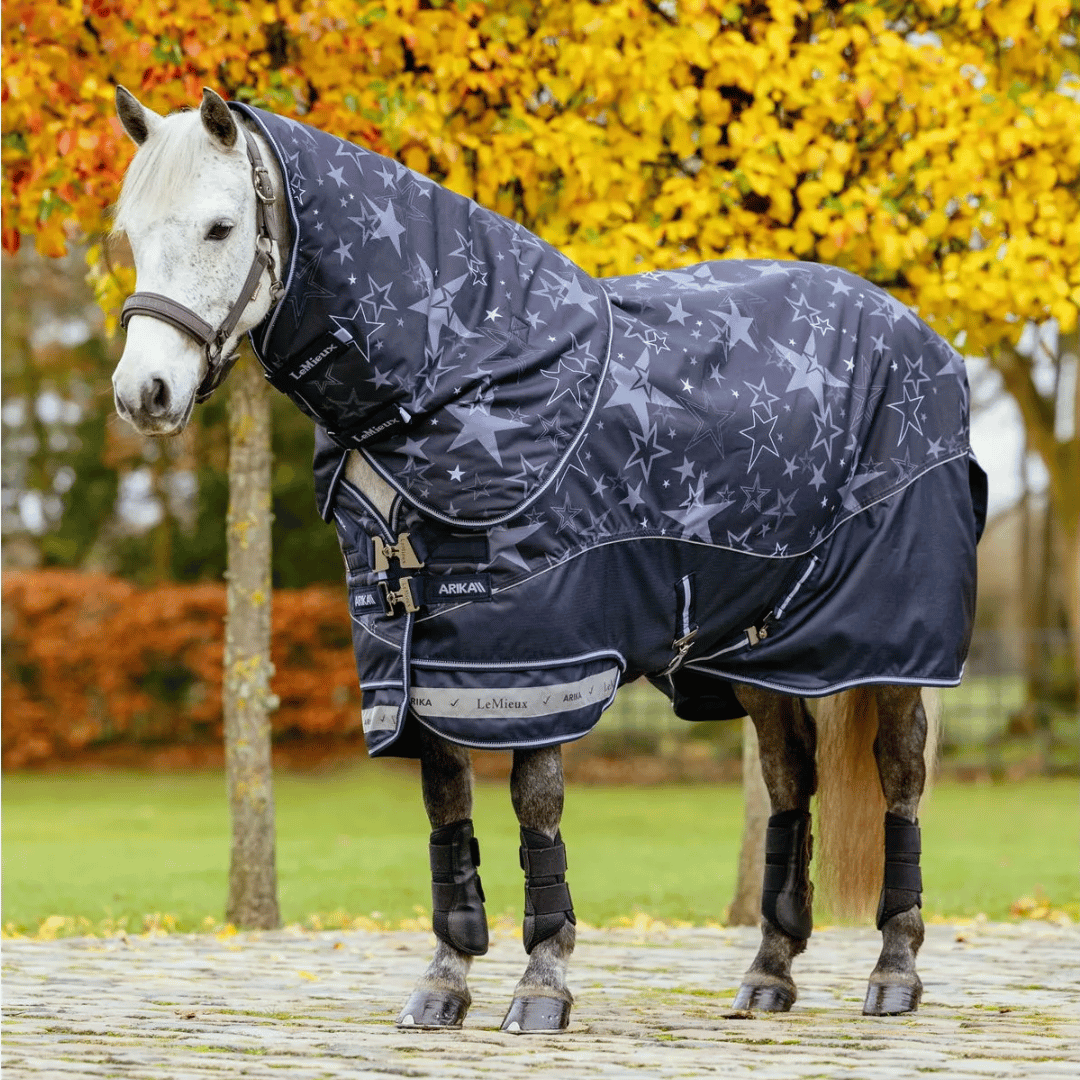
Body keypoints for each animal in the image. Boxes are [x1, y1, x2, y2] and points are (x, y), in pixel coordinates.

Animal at [110, 86, 986, 1032]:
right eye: (130, 233)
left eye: (221, 227)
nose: (142, 394)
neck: (463, 376)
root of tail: (920, 338)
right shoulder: (417, 651)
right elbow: (447, 808)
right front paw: (445, 981)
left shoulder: (538, 648)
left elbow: (536, 803)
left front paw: (541, 982)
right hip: (764, 650)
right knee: (791, 781)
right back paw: (768, 974)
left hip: (890, 647)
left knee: (899, 777)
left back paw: (894, 969)